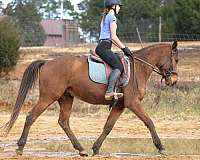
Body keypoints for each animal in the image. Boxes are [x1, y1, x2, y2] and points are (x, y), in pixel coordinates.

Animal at [1, 40, 178, 156]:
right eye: (175, 59)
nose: (174, 80)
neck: (139, 67)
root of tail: (47, 62)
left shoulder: (120, 105)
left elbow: (108, 126)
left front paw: (96, 148)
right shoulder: (132, 103)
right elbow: (149, 122)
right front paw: (161, 147)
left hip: (66, 98)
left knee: (63, 122)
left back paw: (81, 149)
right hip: (48, 97)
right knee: (31, 117)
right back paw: (20, 147)